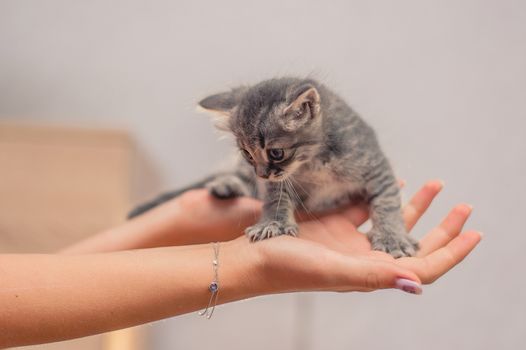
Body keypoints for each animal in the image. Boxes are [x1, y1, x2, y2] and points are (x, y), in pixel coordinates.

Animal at [131, 77, 420, 258]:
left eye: (276, 153)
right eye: (247, 153)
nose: (260, 172)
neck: (313, 162)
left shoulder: (375, 164)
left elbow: (387, 202)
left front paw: (393, 238)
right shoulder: (273, 181)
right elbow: (275, 197)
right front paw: (274, 224)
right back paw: (226, 185)